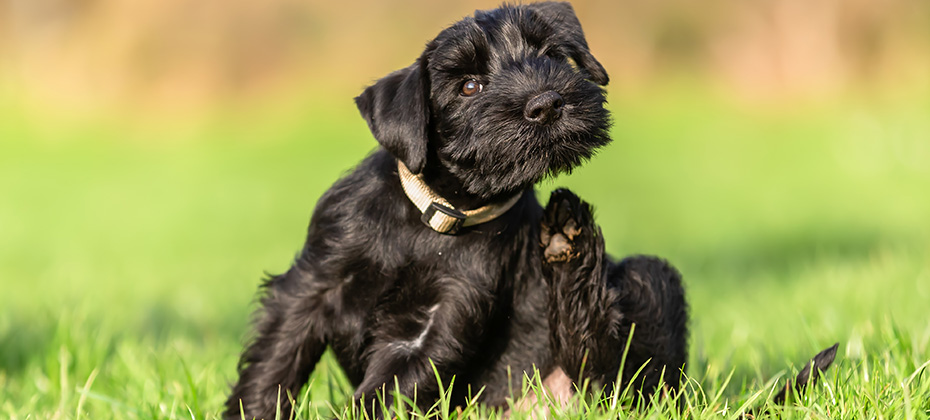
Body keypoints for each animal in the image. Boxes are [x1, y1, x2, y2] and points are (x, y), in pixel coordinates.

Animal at [225, 2, 688, 416]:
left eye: (551, 55)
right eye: (468, 87)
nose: (547, 104)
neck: (434, 216)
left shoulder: (444, 315)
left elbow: (388, 389)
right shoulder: (311, 285)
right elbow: (275, 363)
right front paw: (250, 411)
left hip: (650, 279)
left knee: (613, 375)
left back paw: (571, 241)